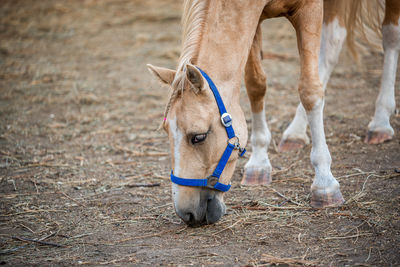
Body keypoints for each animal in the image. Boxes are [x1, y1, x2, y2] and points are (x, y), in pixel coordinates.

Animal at [148, 0, 400, 226]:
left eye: (198, 137)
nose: (186, 213)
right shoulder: (253, 18)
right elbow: (255, 84)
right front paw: (259, 164)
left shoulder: (309, 9)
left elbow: (309, 90)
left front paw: (324, 183)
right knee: (334, 40)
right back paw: (295, 133)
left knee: (388, 35)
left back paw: (380, 122)